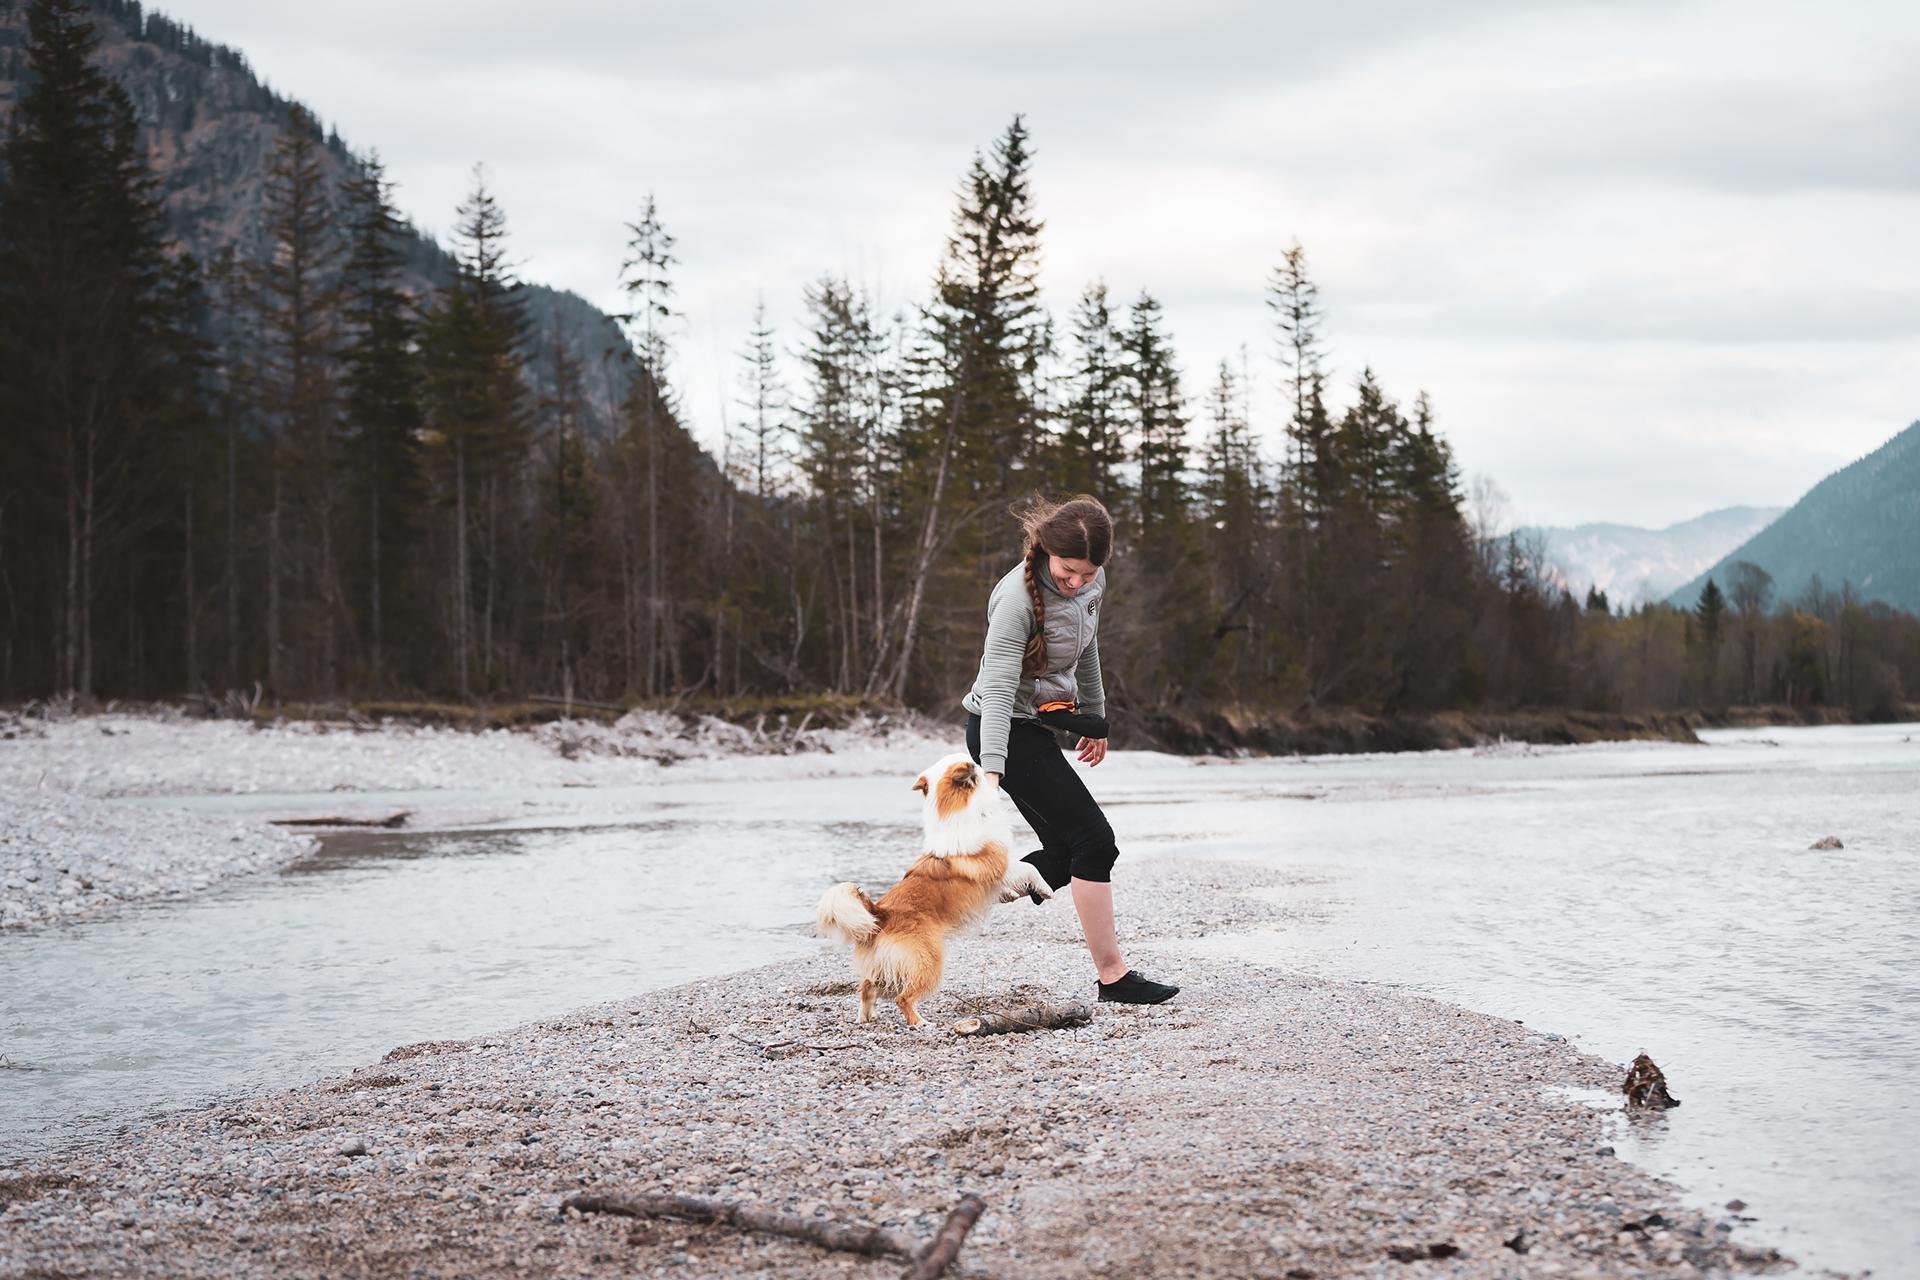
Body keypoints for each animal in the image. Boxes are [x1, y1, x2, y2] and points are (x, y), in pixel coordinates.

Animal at [810, 756, 1052, 1028]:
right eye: (971, 763)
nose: (978, 763)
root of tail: (880, 913)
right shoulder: (1001, 866)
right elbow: (1030, 868)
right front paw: (1045, 888)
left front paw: (1010, 894)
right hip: (929, 963)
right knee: (902, 998)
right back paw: (921, 1023)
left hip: (882, 968)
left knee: (866, 987)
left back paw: (866, 1018)